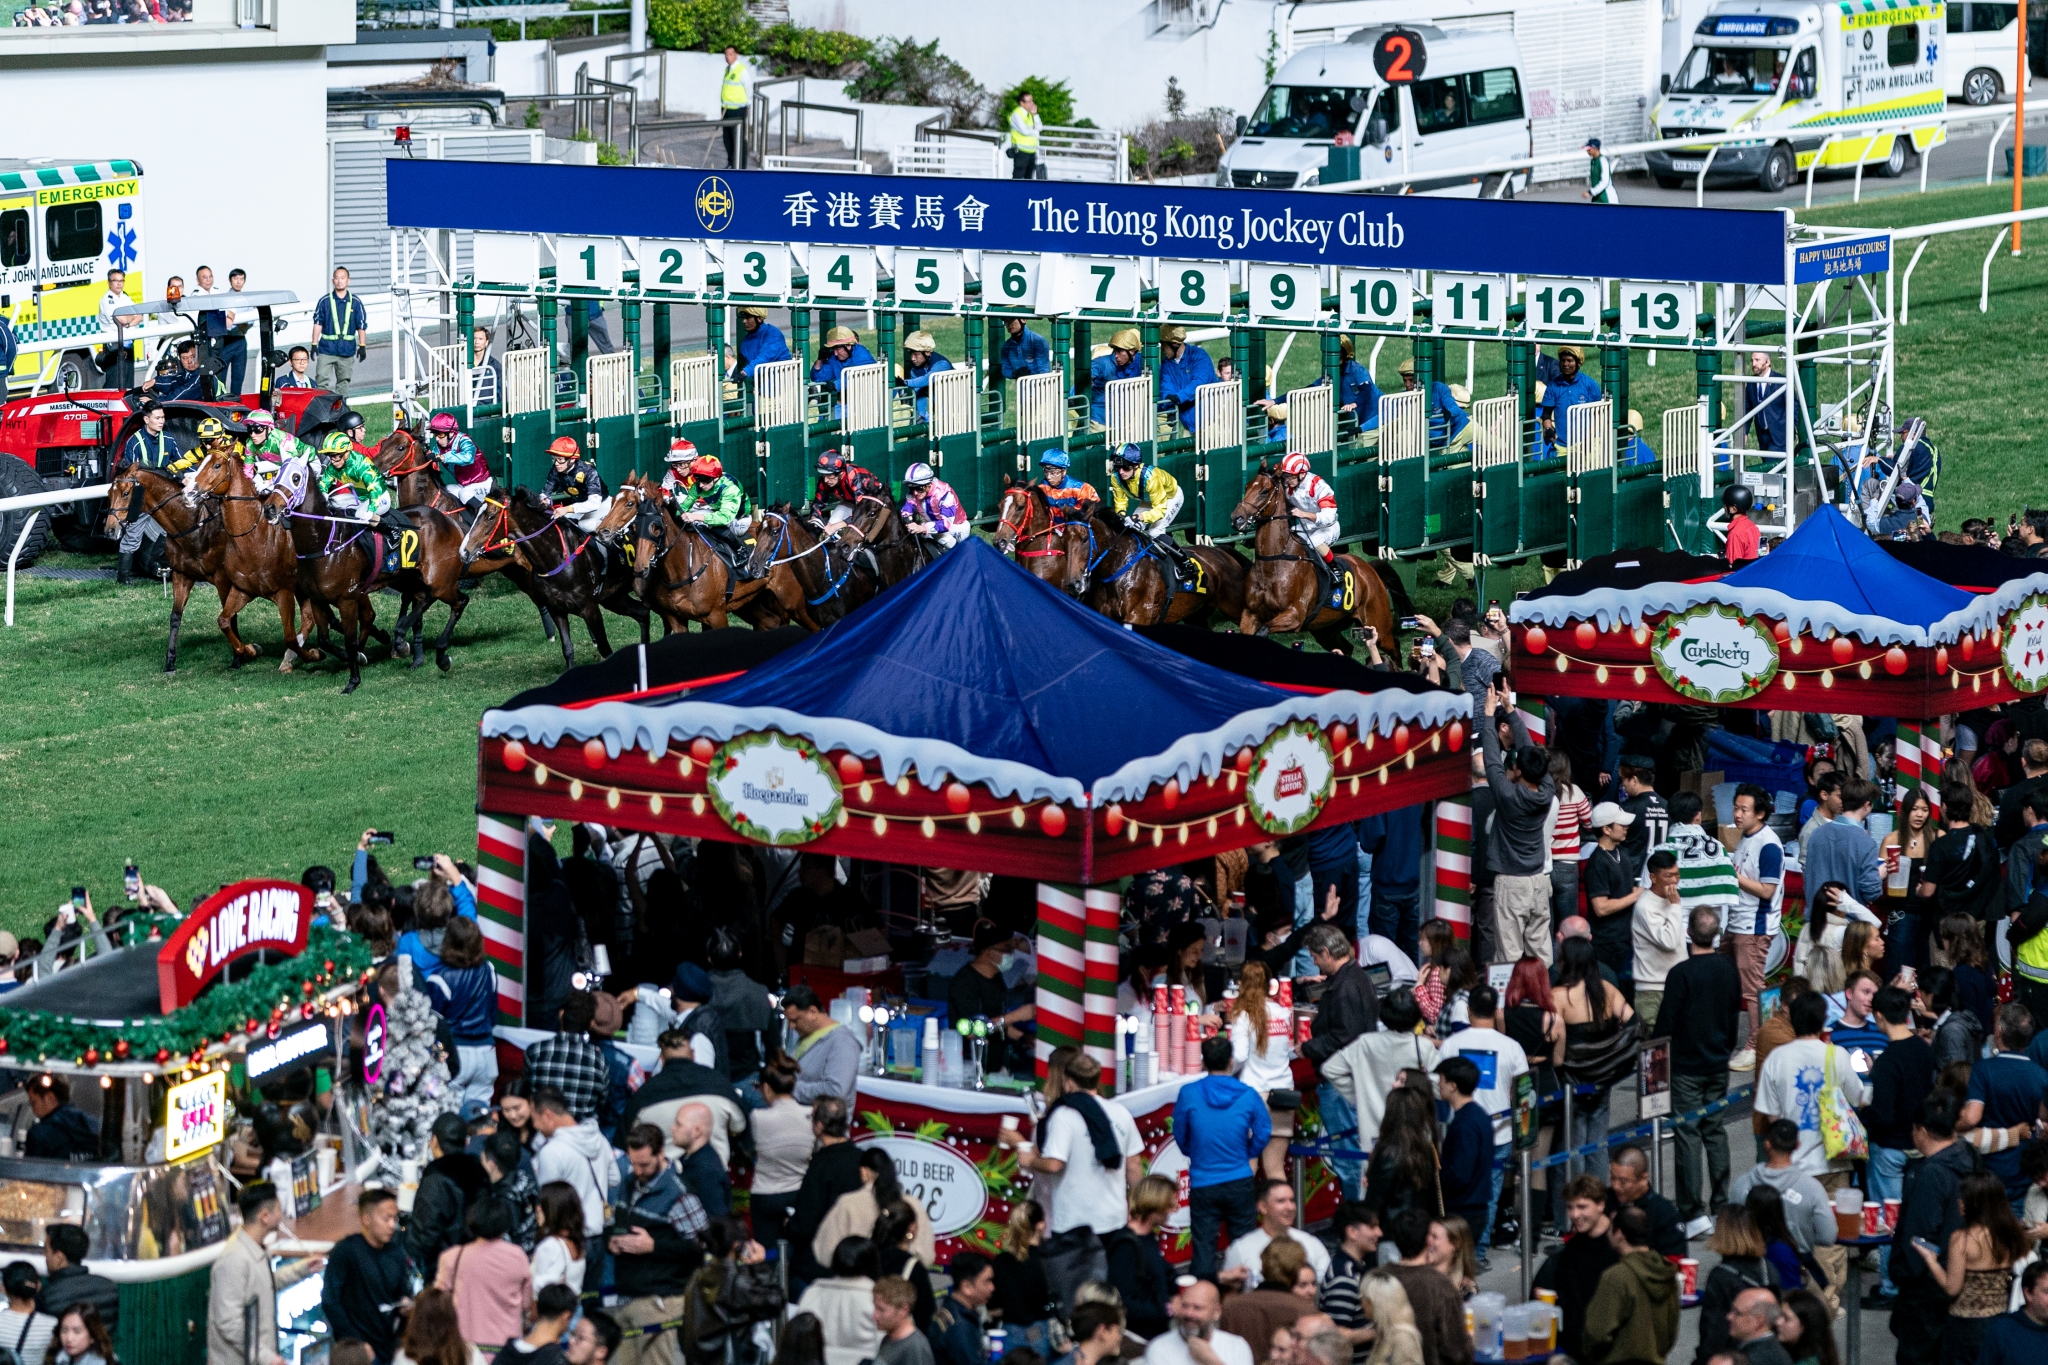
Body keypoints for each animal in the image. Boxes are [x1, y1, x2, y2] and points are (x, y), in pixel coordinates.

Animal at [459, 487, 651, 666]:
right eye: (476, 513)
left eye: (490, 517)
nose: (464, 551)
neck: (555, 558)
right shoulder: (556, 609)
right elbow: (567, 649)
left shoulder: (590, 608)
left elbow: (605, 649)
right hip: (614, 598)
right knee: (643, 613)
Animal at [1229, 462, 1400, 654]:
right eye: (1247, 486)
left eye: (1264, 491)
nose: (1236, 519)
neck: (1273, 563)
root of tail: (1369, 570)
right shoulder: (1250, 613)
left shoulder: (1294, 615)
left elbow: (1263, 630)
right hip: (1326, 629)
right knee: (1346, 648)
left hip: (1378, 624)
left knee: (1394, 647)